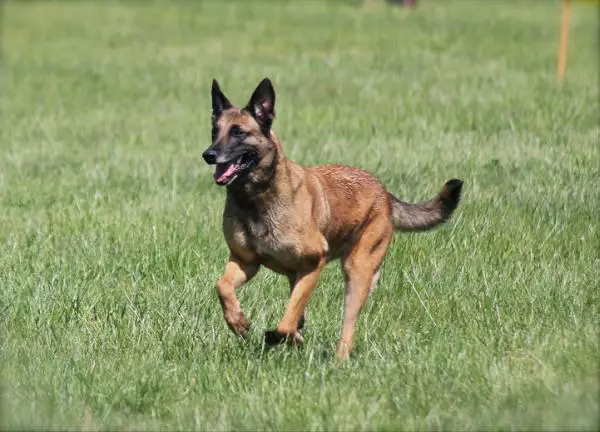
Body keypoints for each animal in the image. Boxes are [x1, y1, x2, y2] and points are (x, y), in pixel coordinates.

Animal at [203, 78, 464, 362]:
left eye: (238, 132)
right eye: (214, 131)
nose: (209, 155)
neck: (255, 199)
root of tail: (384, 193)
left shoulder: (313, 264)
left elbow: (288, 320)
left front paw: (277, 335)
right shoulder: (246, 262)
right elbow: (221, 286)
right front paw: (237, 321)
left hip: (357, 272)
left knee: (345, 327)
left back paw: (337, 359)